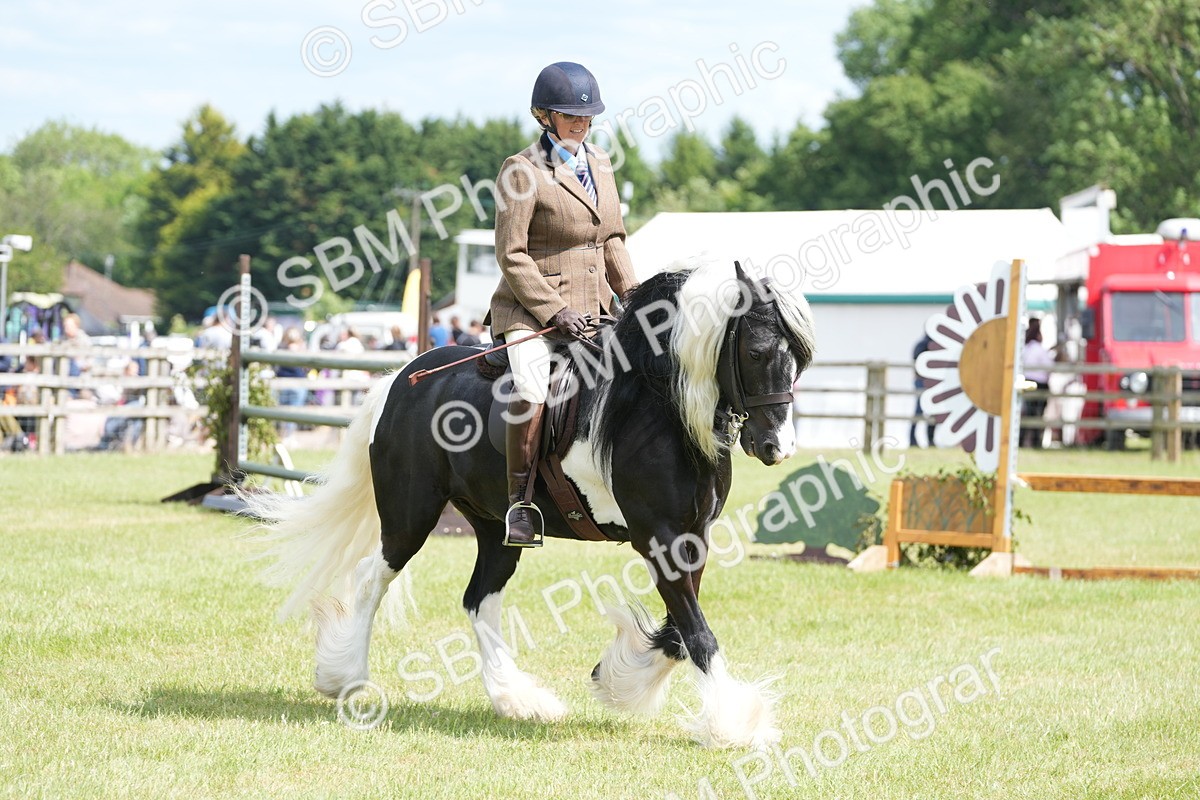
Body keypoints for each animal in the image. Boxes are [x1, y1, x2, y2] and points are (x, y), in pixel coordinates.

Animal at [245, 258, 815, 748]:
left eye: (800, 361)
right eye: (758, 352)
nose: (776, 447)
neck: (660, 410)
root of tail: (399, 381)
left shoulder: (692, 535)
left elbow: (680, 631)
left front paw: (617, 681)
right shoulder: (659, 537)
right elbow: (697, 632)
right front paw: (732, 724)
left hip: (497, 527)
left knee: (479, 599)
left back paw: (517, 700)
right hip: (410, 516)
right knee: (371, 578)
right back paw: (346, 680)